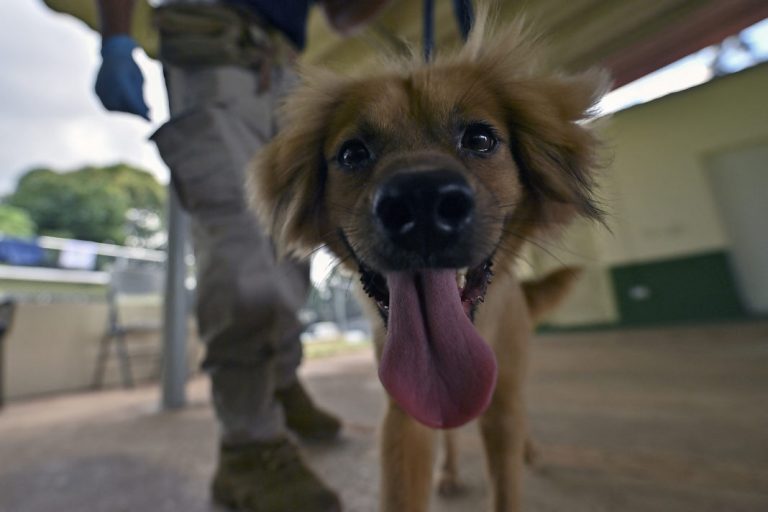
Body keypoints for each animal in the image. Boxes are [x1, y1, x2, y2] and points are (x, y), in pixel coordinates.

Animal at [249, 12, 604, 512]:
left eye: (480, 138)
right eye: (352, 153)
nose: (421, 204)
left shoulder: (500, 411)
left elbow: (507, 479)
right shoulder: (404, 416)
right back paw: (450, 472)